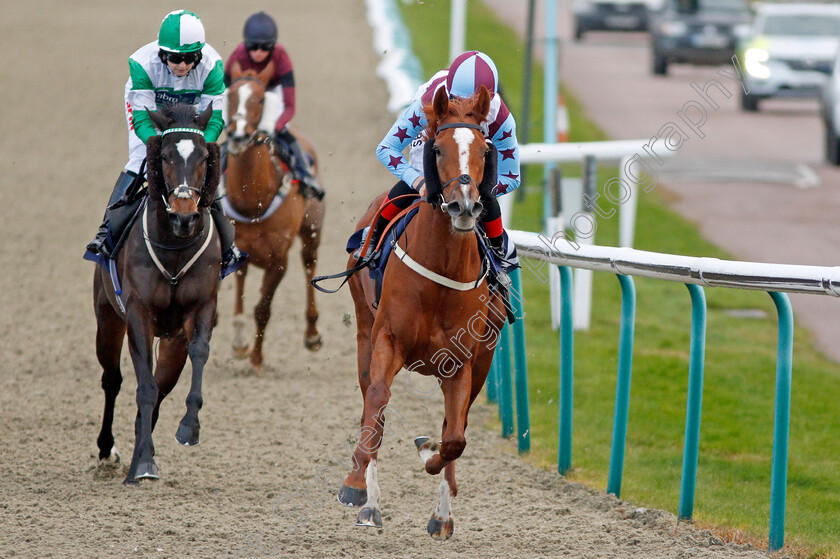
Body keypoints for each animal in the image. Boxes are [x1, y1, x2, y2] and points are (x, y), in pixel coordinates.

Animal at [94, 104, 223, 486]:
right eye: (164, 156)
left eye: (203, 157)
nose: (185, 216)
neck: (174, 248)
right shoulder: (138, 313)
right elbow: (144, 387)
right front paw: (144, 463)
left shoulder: (201, 307)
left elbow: (199, 353)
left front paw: (189, 427)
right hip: (107, 318)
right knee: (113, 380)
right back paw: (110, 453)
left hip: (171, 342)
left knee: (160, 391)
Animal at [223, 71, 324, 376]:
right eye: (230, 95)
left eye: (259, 99)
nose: (238, 134)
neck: (252, 200)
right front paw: (242, 346)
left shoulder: (279, 260)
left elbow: (262, 310)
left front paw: (256, 360)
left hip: (312, 232)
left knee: (309, 266)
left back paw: (312, 334)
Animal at [338, 86, 508, 540]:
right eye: (437, 148)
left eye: (485, 149)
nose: (464, 206)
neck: (441, 273)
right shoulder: (387, 340)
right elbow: (377, 406)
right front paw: (363, 496)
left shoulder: (463, 362)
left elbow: (455, 437)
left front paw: (439, 496)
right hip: (364, 328)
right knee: (370, 398)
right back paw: (360, 487)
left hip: (484, 359)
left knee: (456, 425)